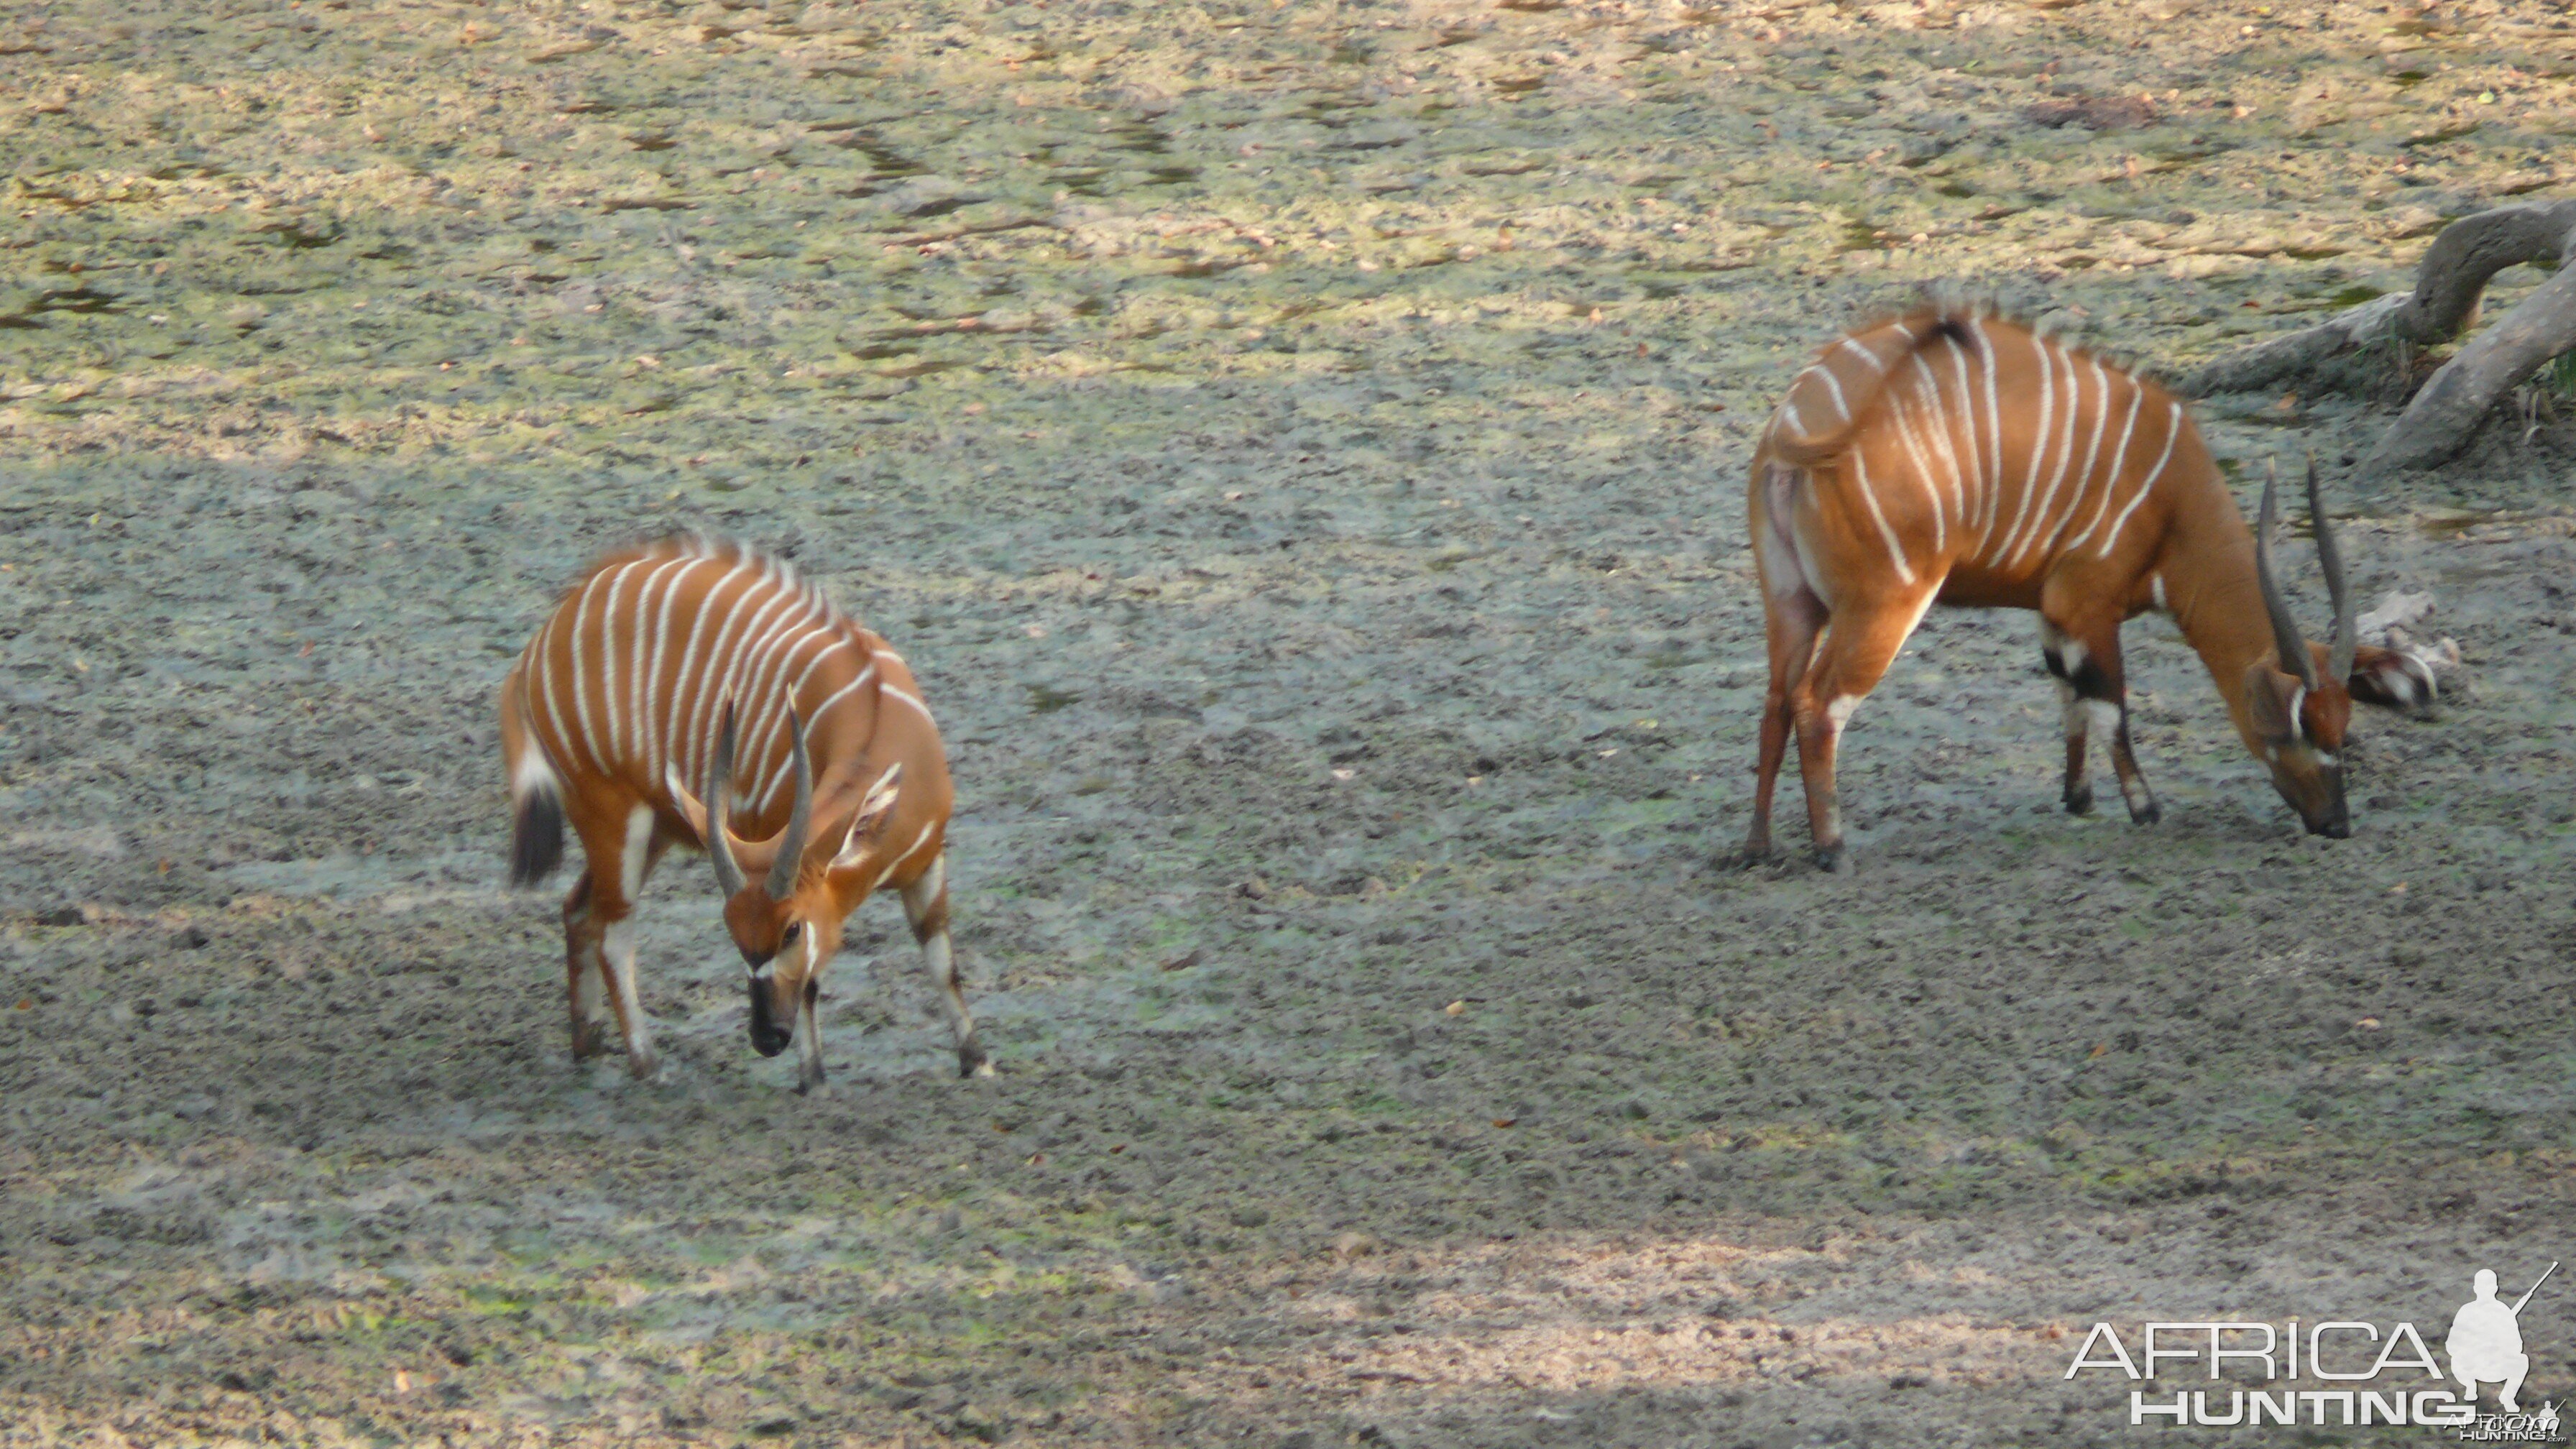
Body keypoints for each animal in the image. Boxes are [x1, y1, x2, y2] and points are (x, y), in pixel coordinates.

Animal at [497, 536, 989, 1087]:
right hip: (613, 816)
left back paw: (589, 1047)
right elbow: (813, 985)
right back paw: (649, 1065)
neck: (879, 723)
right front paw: (813, 1078)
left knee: (579, 910)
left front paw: (978, 1061)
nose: (766, 1038)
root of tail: (539, 645)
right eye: (732, 931)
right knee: (614, 934)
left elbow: (942, 961)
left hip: (655, 827)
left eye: (791, 928)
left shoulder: (927, 862)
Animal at [1752, 304, 2432, 861]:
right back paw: (1832, 848)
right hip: (1884, 605)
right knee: (1817, 704)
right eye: (2300, 726)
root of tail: (1797, 418)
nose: (2336, 824)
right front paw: (2145, 807)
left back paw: (1759, 848)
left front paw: (2077, 797)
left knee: (1778, 700)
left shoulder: (2054, 612)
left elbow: (2069, 694)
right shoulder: (2087, 605)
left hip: (1794, 604)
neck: (2173, 493)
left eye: (2344, 724)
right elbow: (2111, 705)